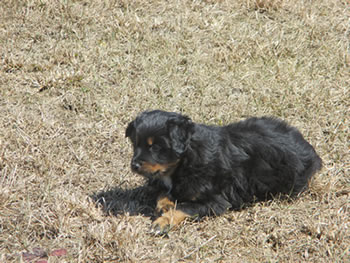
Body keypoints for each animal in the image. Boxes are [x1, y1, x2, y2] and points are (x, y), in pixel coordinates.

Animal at [126, 110, 322, 234]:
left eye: (156, 147)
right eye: (135, 144)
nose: (134, 165)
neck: (186, 159)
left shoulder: (216, 201)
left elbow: (185, 207)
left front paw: (163, 222)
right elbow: (163, 192)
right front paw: (165, 204)